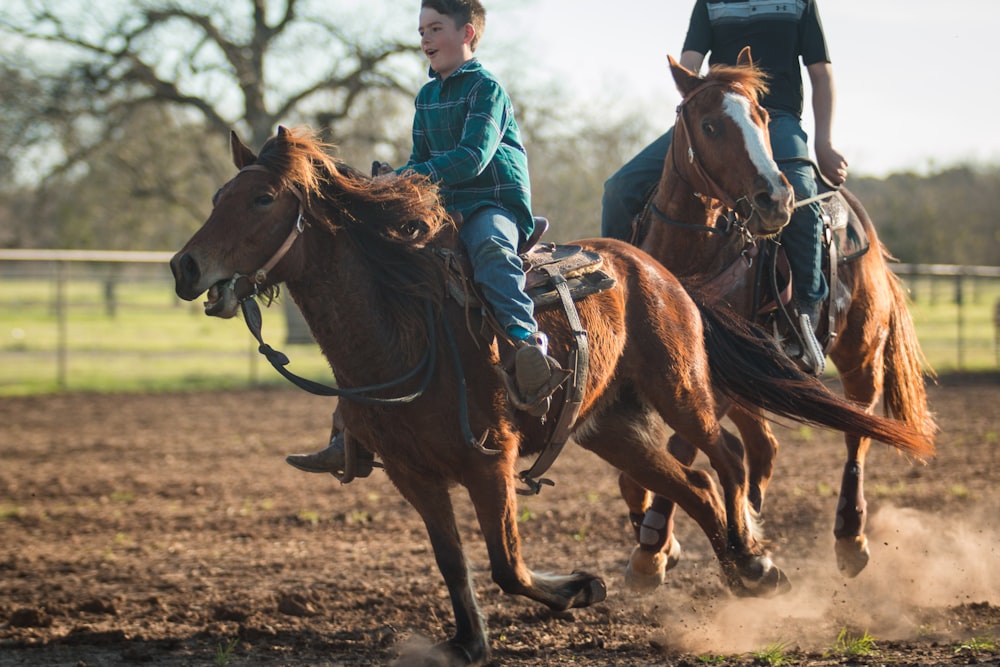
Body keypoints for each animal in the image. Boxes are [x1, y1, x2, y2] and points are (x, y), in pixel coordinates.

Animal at [170, 128, 928, 664]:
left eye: (261, 199)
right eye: (215, 198)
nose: (184, 266)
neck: (402, 328)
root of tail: (655, 268)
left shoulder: (491, 462)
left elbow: (506, 565)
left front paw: (580, 588)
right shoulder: (416, 476)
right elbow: (456, 564)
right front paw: (467, 643)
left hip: (681, 389)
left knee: (730, 458)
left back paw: (756, 557)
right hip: (611, 427)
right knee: (690, 483)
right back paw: (738, 570)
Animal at [620, 48, 940, 588]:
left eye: (763, 117)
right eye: (709, 125)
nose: (775, 198)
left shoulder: (712, 383)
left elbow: (683, 450)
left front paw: (653, 545)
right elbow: (643, 466)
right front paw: (671, 542)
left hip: (860, 354)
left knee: (857, 430)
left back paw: (849, 536)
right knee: (763, 448)